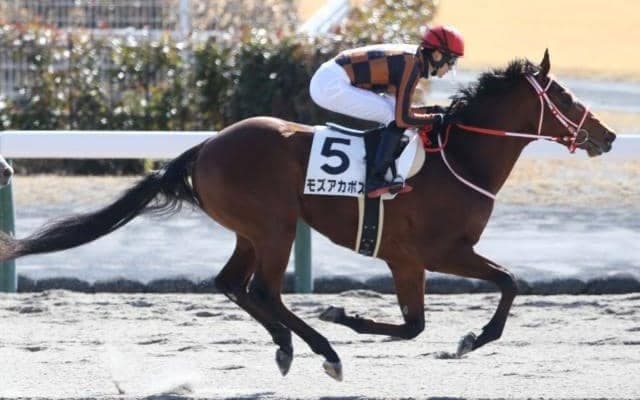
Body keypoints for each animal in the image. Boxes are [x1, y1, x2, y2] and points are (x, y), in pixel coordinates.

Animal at [0, 50, 616, 381]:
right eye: (564, 94)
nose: (607, 136)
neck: (459, 157)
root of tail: (206, 145)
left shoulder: (409, 260)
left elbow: (421, 323)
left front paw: (358, 318)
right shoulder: (436, 253)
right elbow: (504, 284)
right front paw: (462, 337)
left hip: (254, 230)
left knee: (233, 284)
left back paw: (287, 346)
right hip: (274, 227)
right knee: (264, 290)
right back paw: (326, 350)